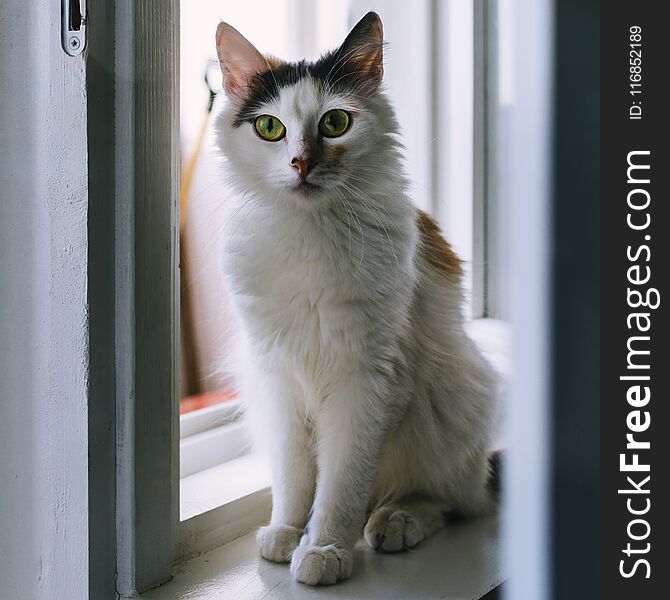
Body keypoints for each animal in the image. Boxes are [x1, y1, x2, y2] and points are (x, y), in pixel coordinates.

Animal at [214, 11, 498, 588]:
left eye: (335, 124)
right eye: (270, 128)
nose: (301, 163)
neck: (307, 234)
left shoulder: (364, 379)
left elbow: (342, 480)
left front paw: (323, 548)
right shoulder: (278, 374)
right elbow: (294, 474)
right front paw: (288, 530)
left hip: (454, 396)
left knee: (450, 500)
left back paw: (396, 521)